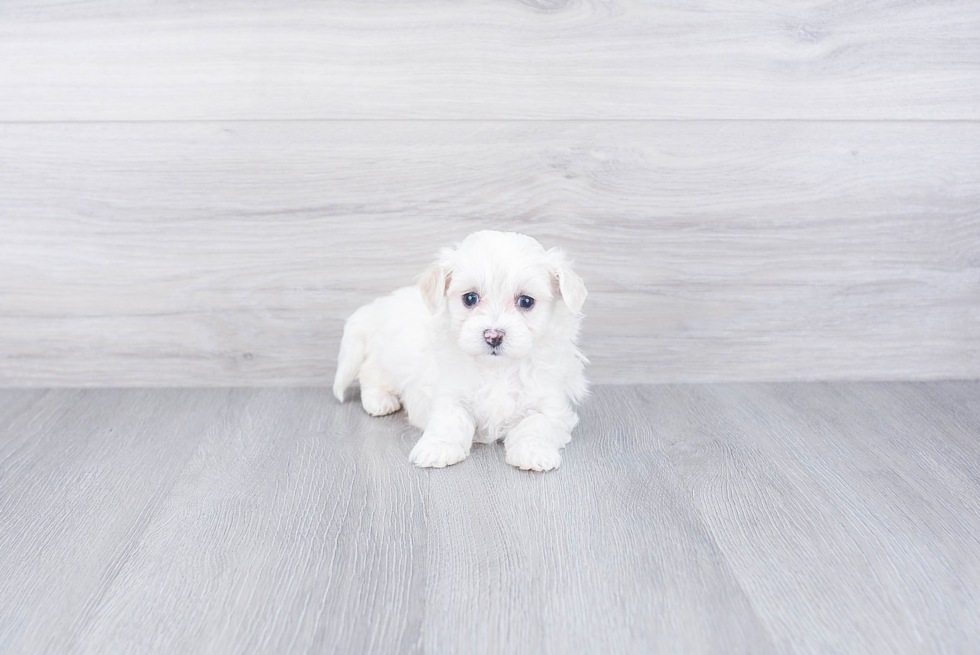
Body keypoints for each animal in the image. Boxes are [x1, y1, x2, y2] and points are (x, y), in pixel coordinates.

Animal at [334, 231, 584, 472]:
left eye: (526, 301)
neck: (498, 369)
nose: (493, 336)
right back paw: (379, 400)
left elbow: (537, 424)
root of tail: (376, 307)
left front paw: (533, 453)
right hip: (389, 359)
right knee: (369, 373)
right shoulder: (450, 392)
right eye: (470, 298)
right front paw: (437, 448)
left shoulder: (551, 403)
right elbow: (450, 420)